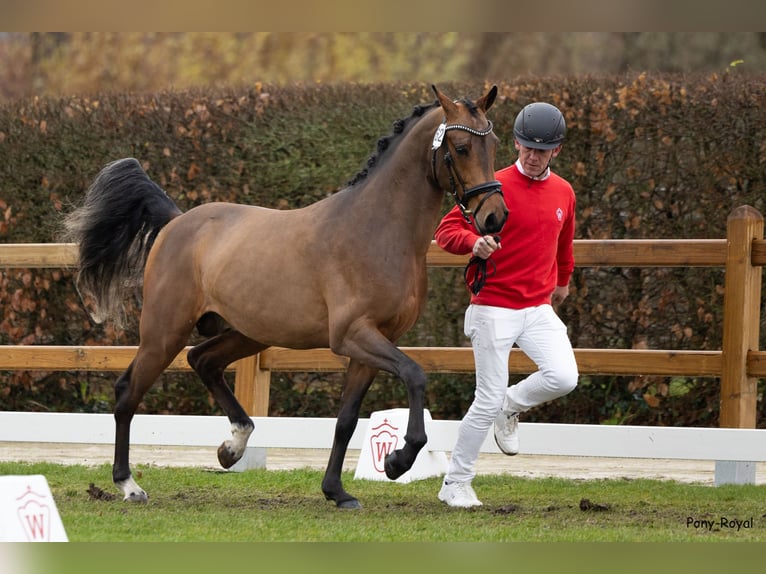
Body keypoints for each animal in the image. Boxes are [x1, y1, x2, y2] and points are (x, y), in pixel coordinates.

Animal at [63, 84, 508, 509]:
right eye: (461, 147)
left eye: (494, 143)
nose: (495, 217)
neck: (376, 229)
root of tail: (176, 222)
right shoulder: (354, 335)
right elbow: (416, 375)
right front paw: (398, 461)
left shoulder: (376, 342)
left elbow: (347, 419)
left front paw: (337, 492)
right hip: (163, 332)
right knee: (128, 392)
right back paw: (128, 485)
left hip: (248, 333)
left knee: (203, 361)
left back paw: (232, 447)